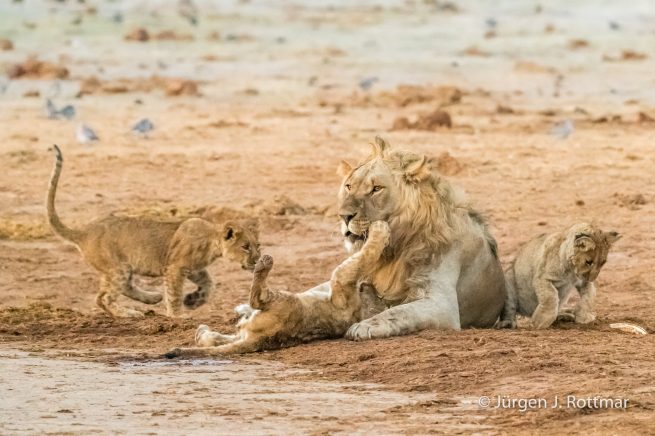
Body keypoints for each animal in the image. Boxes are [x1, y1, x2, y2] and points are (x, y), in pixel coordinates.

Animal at [46, 145, 261, 318]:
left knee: (120, 288)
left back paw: (152, 298)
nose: (258, 260)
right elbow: (174, 294)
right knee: (103, 298)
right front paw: (177, 316)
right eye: (245, 247)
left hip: (120, 269)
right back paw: (130, 313)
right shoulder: (175, 267)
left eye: (258, 245)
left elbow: (209, 285)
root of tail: (83, 232)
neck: (212, 242)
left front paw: (192, 301)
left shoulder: (194, 268)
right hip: (118, 268)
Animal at [164, 221, 390, 357]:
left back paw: (264, 264)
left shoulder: (342, 279)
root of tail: (262, 341)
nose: (367, 285)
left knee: (257, 298)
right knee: (219, 339)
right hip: (251, 326)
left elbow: (363, 256)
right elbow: (362, 258)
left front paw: (381, 229)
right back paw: (202, 332)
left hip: (283, 300)